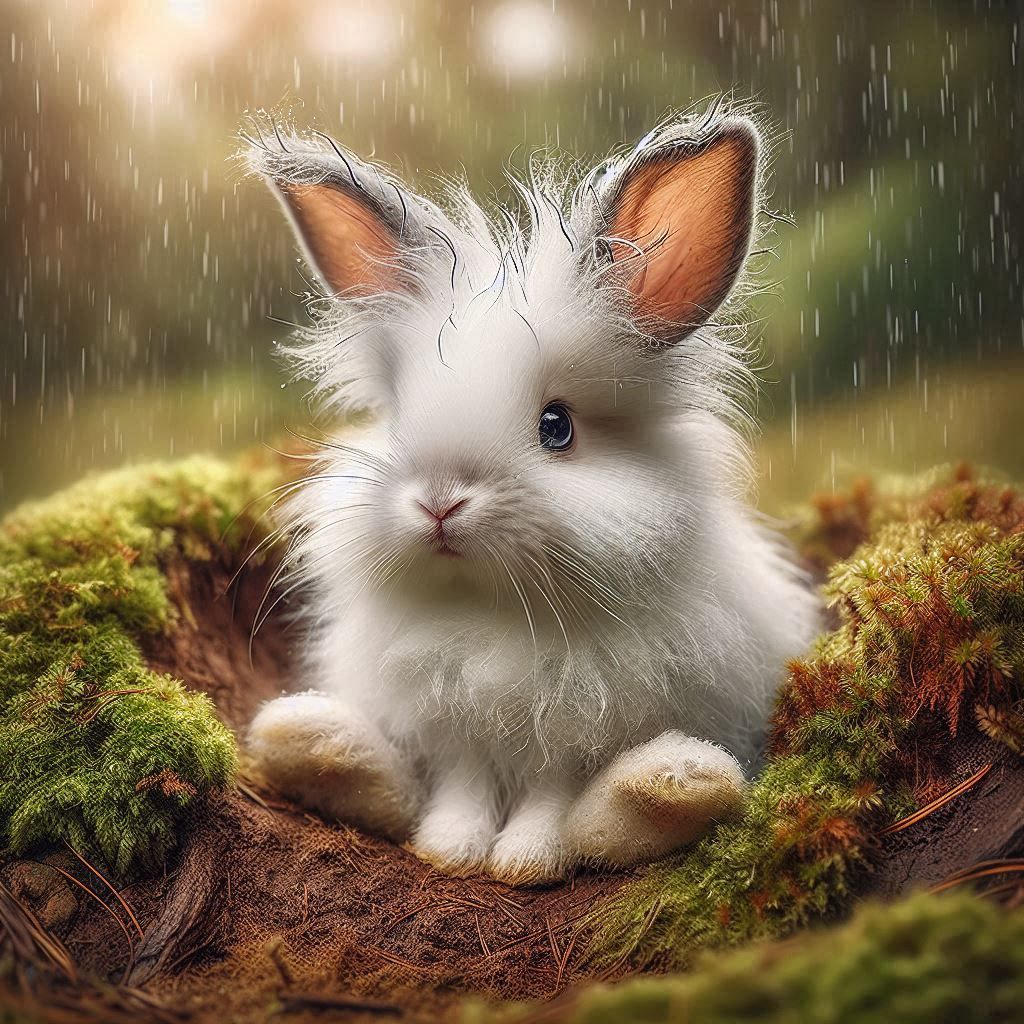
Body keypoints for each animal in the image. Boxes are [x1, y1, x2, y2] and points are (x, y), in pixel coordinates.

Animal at [243, 103, 820, 885]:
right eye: (399, 414)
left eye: (557, 427)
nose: (440, 502)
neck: (496, 613)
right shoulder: (454, 729)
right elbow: (461, 787)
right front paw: (450, 849)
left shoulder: (577, 734)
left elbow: (551, 798)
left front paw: (524, 862)